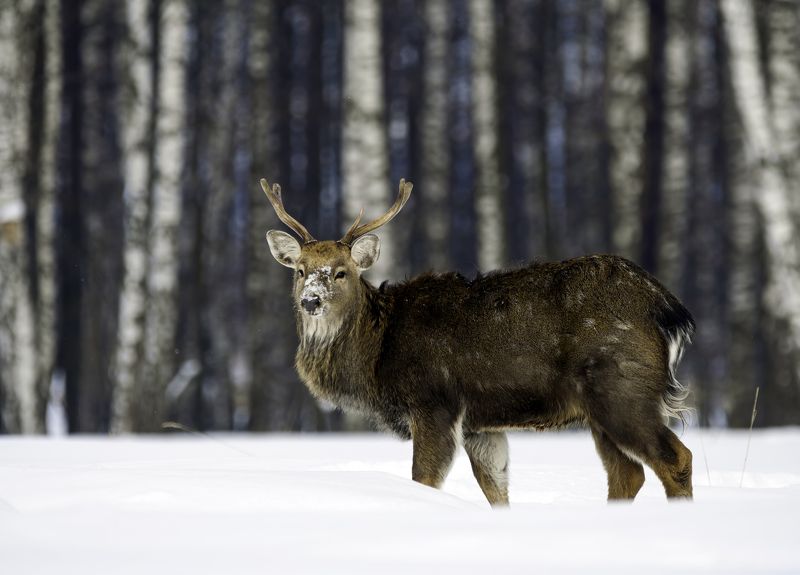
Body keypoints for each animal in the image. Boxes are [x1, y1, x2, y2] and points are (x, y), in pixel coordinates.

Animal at [262, 178, 695, 506]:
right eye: (300, 270)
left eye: (340, 272)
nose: (311, 300)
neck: (378, 351)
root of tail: (668, 308)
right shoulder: (480, 425)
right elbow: (495, 488)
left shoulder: (434, 402)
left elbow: (424, 480)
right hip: (601, 407)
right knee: (628, 473)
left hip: (624, 389)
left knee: (675, 458)